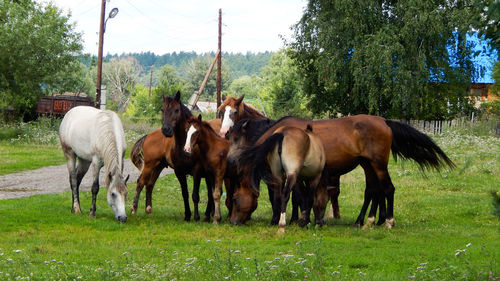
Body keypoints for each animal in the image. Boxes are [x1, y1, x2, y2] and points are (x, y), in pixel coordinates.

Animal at [229, 115, 456, 226]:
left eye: (235, 199)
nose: (233, 222)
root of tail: (383, 121)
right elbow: (299, 197)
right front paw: (298, 218)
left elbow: (287, 197)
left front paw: (284, 219)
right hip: (368, 165)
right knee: (374, 191)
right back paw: (368, 220)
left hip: (377, 164)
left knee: (388, 189)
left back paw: (387, 221)